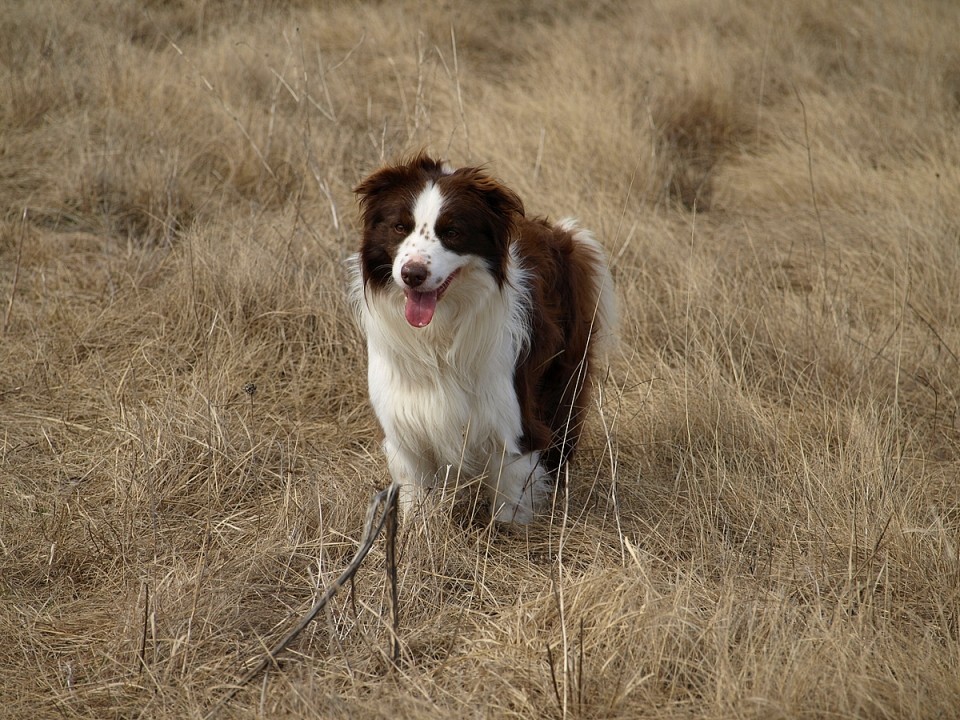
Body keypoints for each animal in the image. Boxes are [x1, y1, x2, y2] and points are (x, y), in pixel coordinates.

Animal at [350, 153, 616, 524]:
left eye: (452, 232)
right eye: (400, 227)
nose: (412, 274)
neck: (439, 333)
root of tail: (561, 233)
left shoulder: (511, 420)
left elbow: (508, 500)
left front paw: (507, 534)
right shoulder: (404, 422)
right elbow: (415, 495)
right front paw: (416, 531)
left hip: (565, 374)